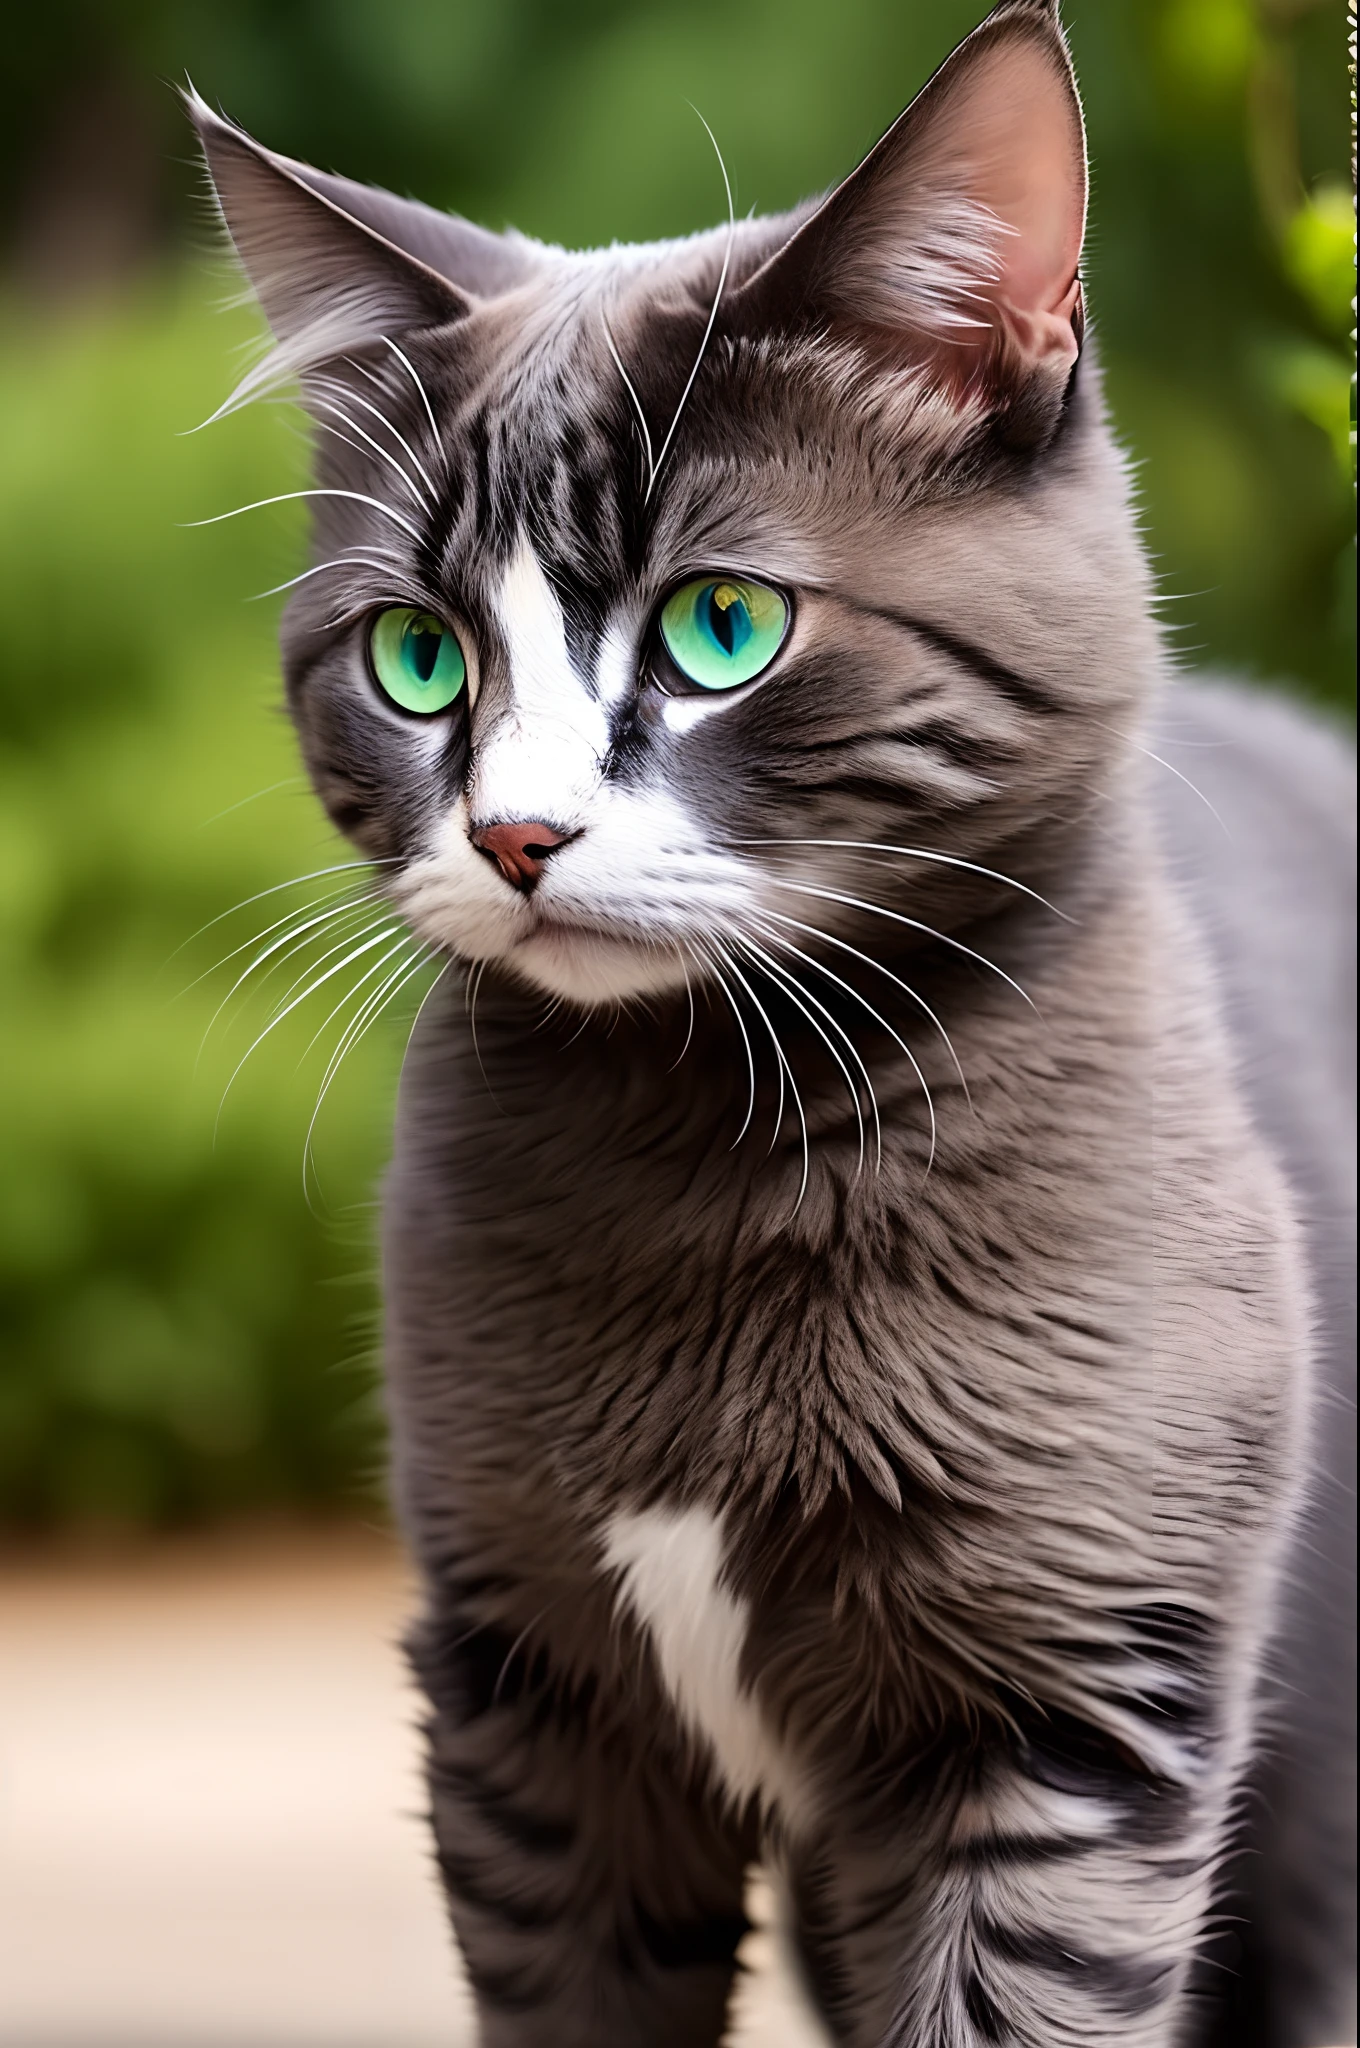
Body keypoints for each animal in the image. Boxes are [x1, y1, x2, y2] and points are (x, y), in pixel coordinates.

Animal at [186, 8, 1351, 2039]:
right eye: (417, 657)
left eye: (723, 626)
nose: (515, 833)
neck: (705, 1149)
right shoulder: (532, 1693)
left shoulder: (1068, 1704)